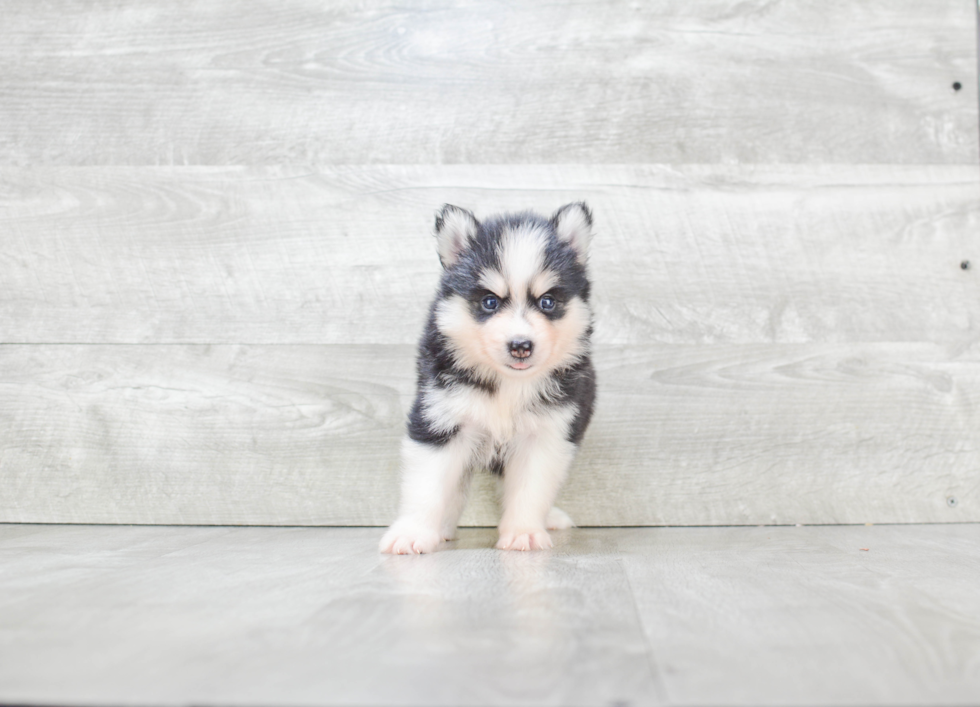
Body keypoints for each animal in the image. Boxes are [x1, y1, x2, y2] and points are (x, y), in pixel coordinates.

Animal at [378, 202, 596, 556]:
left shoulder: (546, 434)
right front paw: (413, 532)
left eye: (547, 302)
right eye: (489, 301)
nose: (520, 345)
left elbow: (531, 489)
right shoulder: (439, 419)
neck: (507, 384)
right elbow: (426, 486)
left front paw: (523, 531)